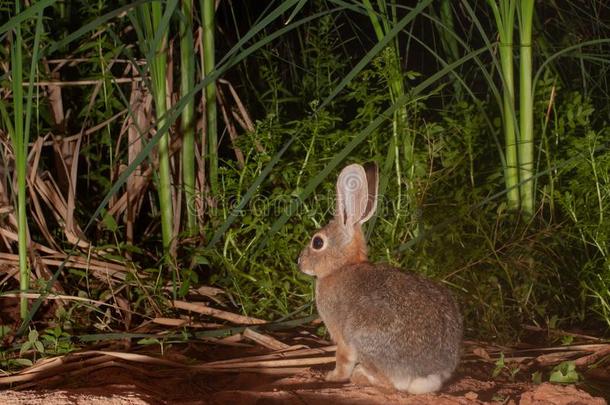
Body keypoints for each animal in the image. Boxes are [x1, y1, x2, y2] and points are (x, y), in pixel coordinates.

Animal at [296, 163, 460, 392]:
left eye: (317, 242)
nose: (299, 262)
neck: (341, 266)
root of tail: (428, 374)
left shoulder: (343, 336)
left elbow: (343, 359)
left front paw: (332, 377)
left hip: (365, 339)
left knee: (388, 382)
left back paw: (360, 376)